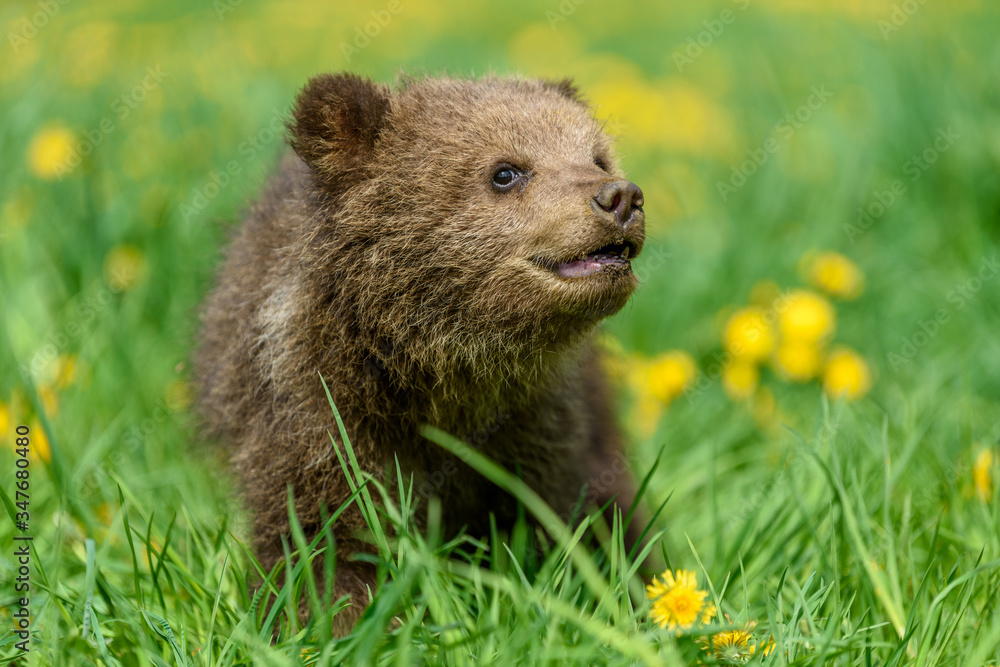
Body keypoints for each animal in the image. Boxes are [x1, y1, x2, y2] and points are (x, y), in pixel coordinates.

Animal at [195, 72, 646, 634]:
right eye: (506, 172)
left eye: (597, 158)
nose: (620, 197)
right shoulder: (315, 412)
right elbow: (324, 540)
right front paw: (335, 621)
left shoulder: (540, 424)